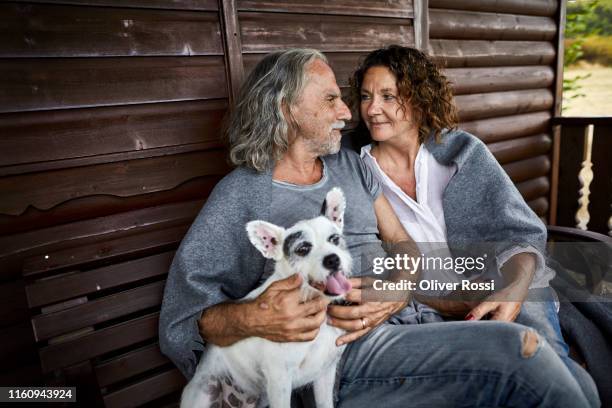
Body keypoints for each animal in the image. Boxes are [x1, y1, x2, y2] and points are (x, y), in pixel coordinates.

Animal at [182, 188, 352, 408]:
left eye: (334, 239)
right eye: (303, 249)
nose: (333, 259)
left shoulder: (325, 374)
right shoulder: (279, 381)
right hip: (205, 391)